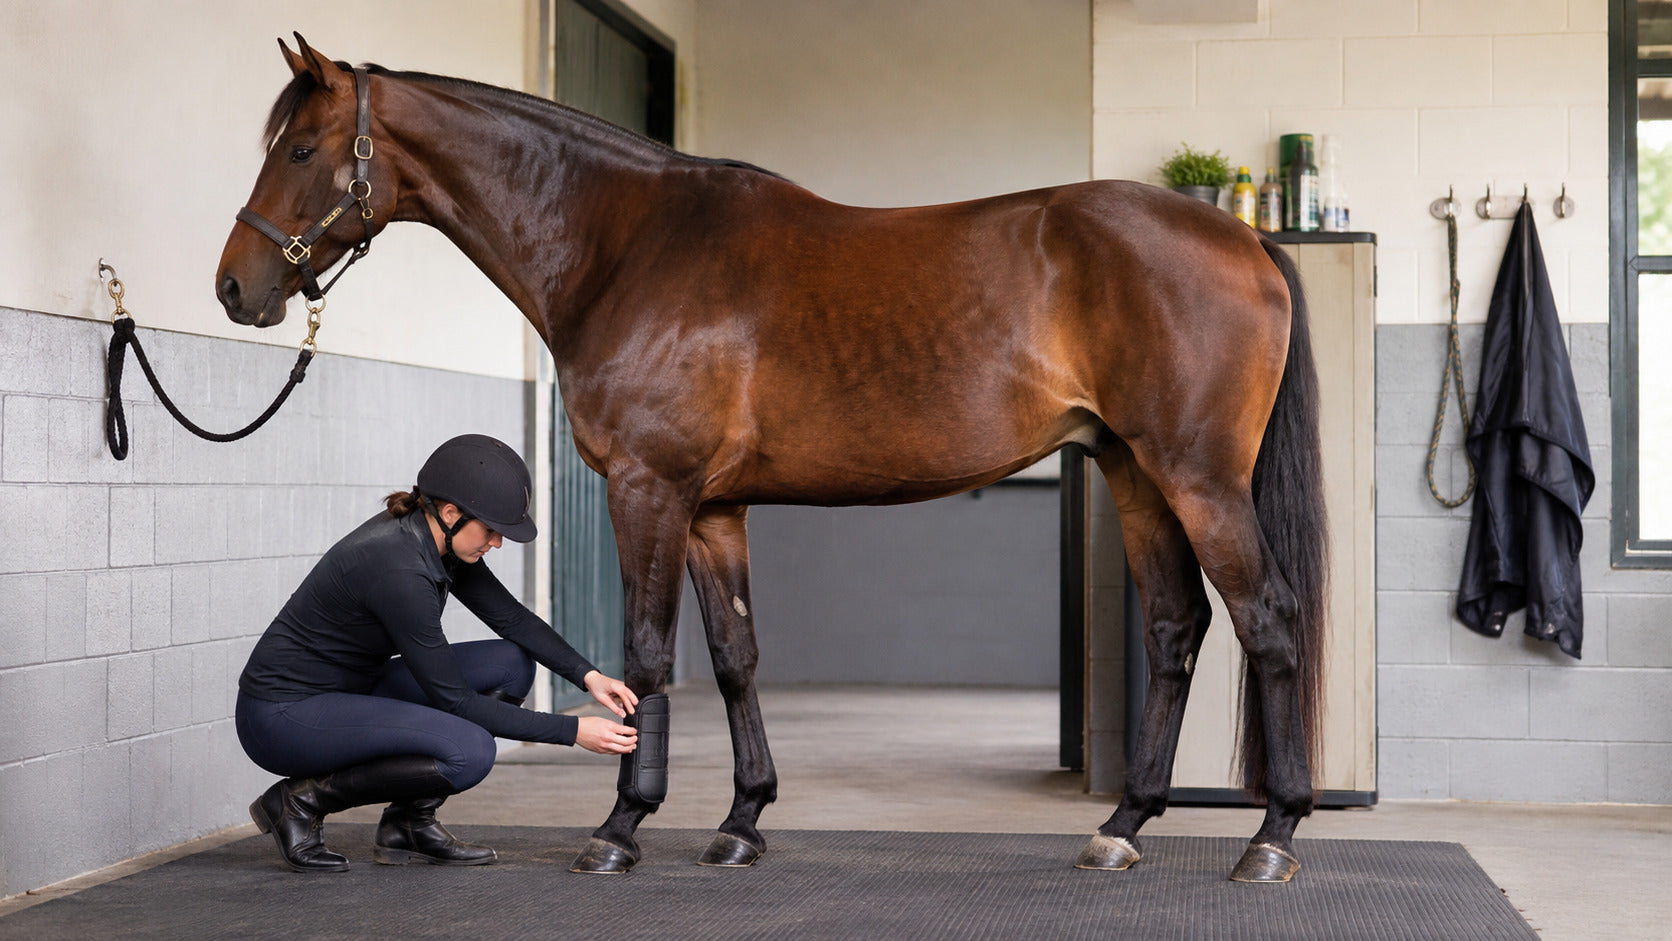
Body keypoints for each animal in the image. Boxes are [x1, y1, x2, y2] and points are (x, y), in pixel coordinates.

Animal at [216, 35, 1328, 884]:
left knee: (1267, 620)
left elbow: (647, 655)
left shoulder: (648, 489)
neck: (627, 245)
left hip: (1197, 478)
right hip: (1136, 474)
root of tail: (1244, 239)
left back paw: (1272, 838)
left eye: (303, 147)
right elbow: (736, 656)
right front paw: (741, 821)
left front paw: (619, 827)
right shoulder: (712, 510)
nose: (235, 287)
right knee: (1177, 627)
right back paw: (1122, 826)